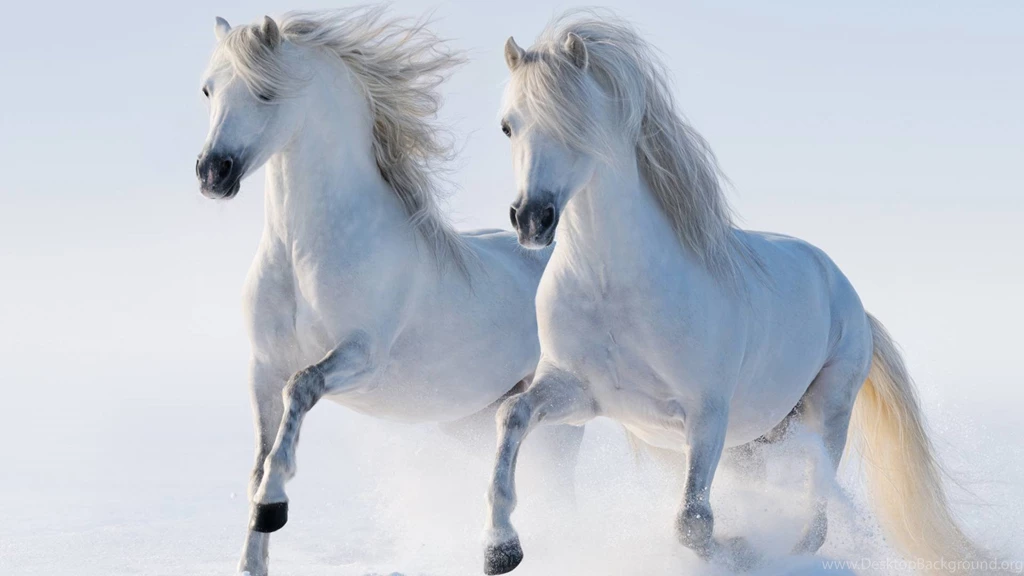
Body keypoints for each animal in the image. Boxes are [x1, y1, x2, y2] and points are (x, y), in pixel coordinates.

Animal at [194, 9, 583, 576]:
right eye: (208, 89)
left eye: (265, 92)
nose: (212, 173)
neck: (302, 253)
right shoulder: (262, 367)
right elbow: (259, 459)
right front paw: (252, 558)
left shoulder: (361, 356)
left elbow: (300, 390)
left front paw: (273, 507)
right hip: (471, 420)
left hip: (560, 418)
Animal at [482, 10, 990, 575]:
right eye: (508, 125)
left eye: (575, 122)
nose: (532, 219)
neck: (614, 288)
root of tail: (849, 297)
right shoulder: (579, 394)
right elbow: (511, 414)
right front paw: (500, 548)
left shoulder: (706, 415)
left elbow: (693, 522)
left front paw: (740, 549)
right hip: (757, 441)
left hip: (825, 414)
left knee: (814, 524)